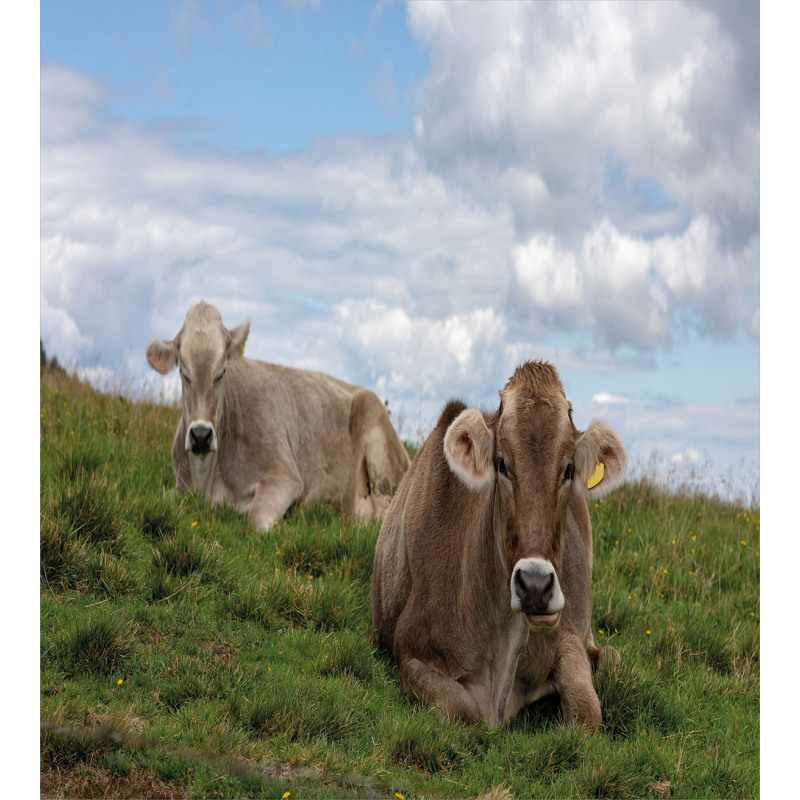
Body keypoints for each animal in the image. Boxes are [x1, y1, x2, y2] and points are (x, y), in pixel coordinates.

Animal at [372, 362, 628, 732]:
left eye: (568, 469)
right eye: (502, 463)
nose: (534, 586)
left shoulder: (565, 633)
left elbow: (587, 715)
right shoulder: (410, 651)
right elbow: (461, 711)